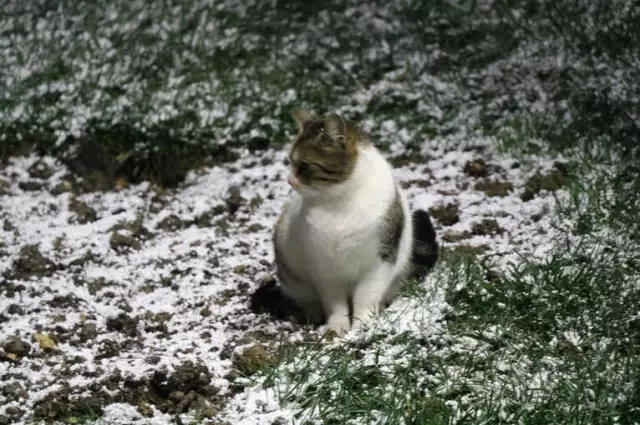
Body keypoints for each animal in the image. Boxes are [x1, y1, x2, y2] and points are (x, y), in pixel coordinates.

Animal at [272, 107, 438, 332]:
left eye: (304, 165)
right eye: (290, 161)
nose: (289, 180)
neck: (338, 203)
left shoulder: (378, 264)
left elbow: (365, 298)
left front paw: (363, 326)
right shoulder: (325, 269)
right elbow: (335, 303)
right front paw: (337, 326)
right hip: (293, 277)